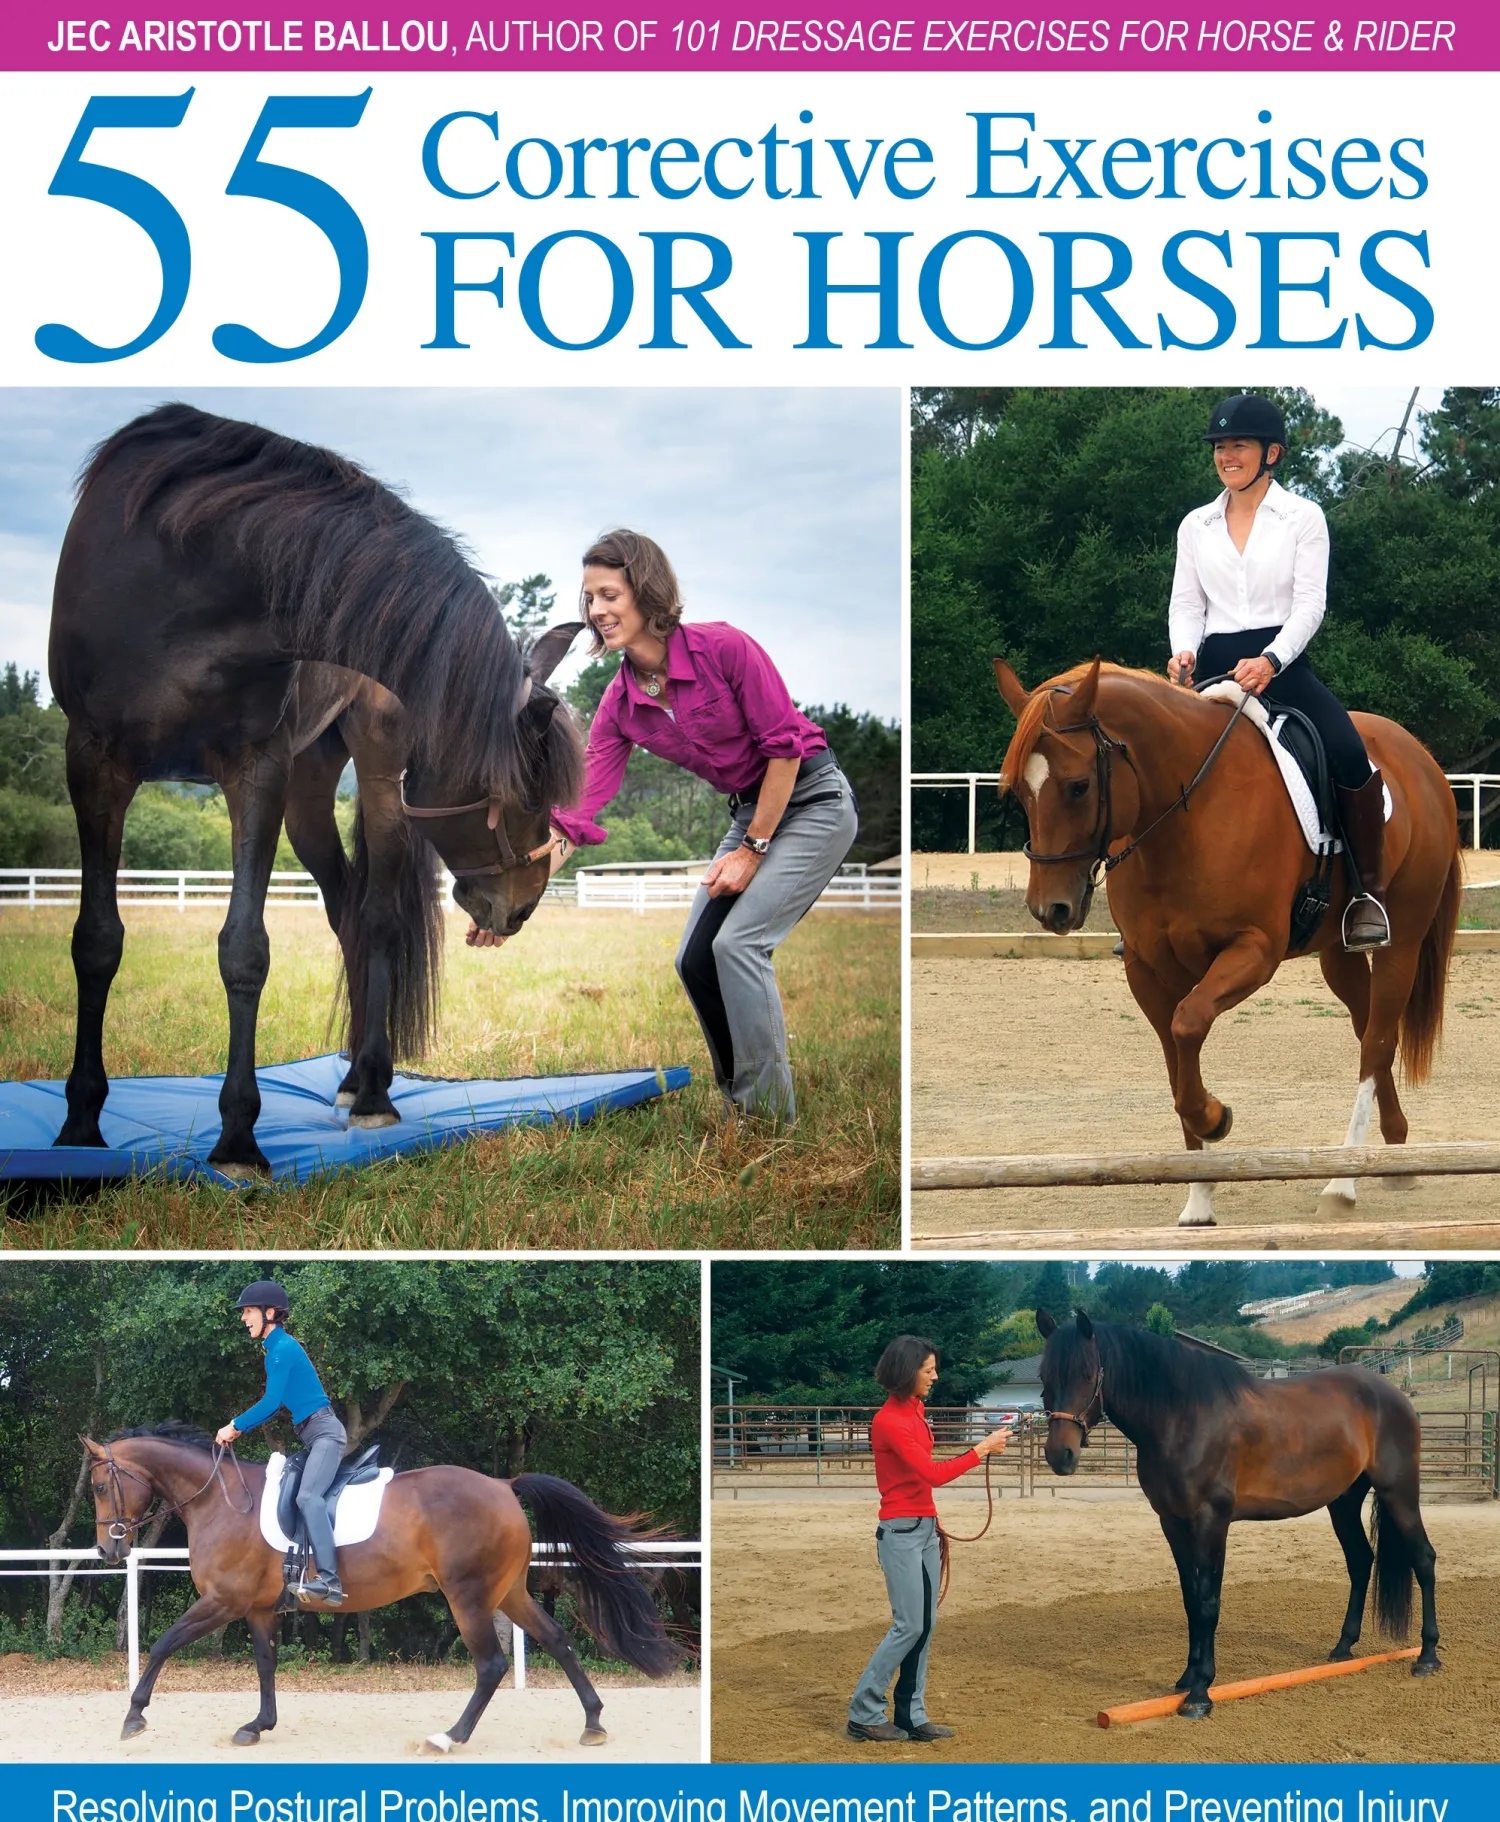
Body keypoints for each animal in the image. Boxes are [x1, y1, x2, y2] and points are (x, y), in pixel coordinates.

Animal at [48, 404, 585, 1176]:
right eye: (526, 792)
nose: (523, 905)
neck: (188, 573)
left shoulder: (255, 769)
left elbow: (244, 949)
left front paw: (237, 1141)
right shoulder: (93, 760)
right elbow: (96, 940)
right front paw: (81, 1126)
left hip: (379, 780)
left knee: (381, 918)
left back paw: (374, 1092)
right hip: (307, 795)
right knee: (349, 913)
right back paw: (356, 1080)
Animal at [83, 1423, 683, 1751]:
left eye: (98, 1486)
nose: (108, 1552)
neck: (220, 1499)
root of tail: (502, 1484)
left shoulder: (222, 1602)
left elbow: (163, 1644)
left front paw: (134, 1716)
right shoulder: (255, 1608)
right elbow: (266, 1664)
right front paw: (258, 1725)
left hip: (467, 1597)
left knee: (491, 1665)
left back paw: (448, 1738)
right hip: (507, 1592)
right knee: (558, 1641)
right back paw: (593, 1724)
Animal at [994, 658, 1462, 1227]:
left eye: (1079, 787)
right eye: (1020, 791)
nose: (1051, 910)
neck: (1185, 814)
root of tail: (1420, 755)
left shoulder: (1253, 950)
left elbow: (1189, 1024)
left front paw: (1214, 1118)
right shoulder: (1148, 968)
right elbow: (1175, 1062)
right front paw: (1198, 1200)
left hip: (1403, 941)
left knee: (1376, 1041)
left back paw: (1344, 1181)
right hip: (1337, 954)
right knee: (1367, 1026)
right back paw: (1394, 1155)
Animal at [1035, 1310, 1440, 1718]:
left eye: (1087, 1373)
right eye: (1043, 1376)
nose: (1059, 1455)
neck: (1182, 1418)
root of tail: (1393, 1395)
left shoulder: (1211, 1521)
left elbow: (1208, 1602)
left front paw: (1200, 1692)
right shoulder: (1173, 1523)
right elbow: (1190, 1600)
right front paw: (1186, 1678)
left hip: (1399, 1492)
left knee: (1423, 1558)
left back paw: (1427, 1656)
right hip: (1342, 1501)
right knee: (1360, 1561)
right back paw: (1343, 1649)